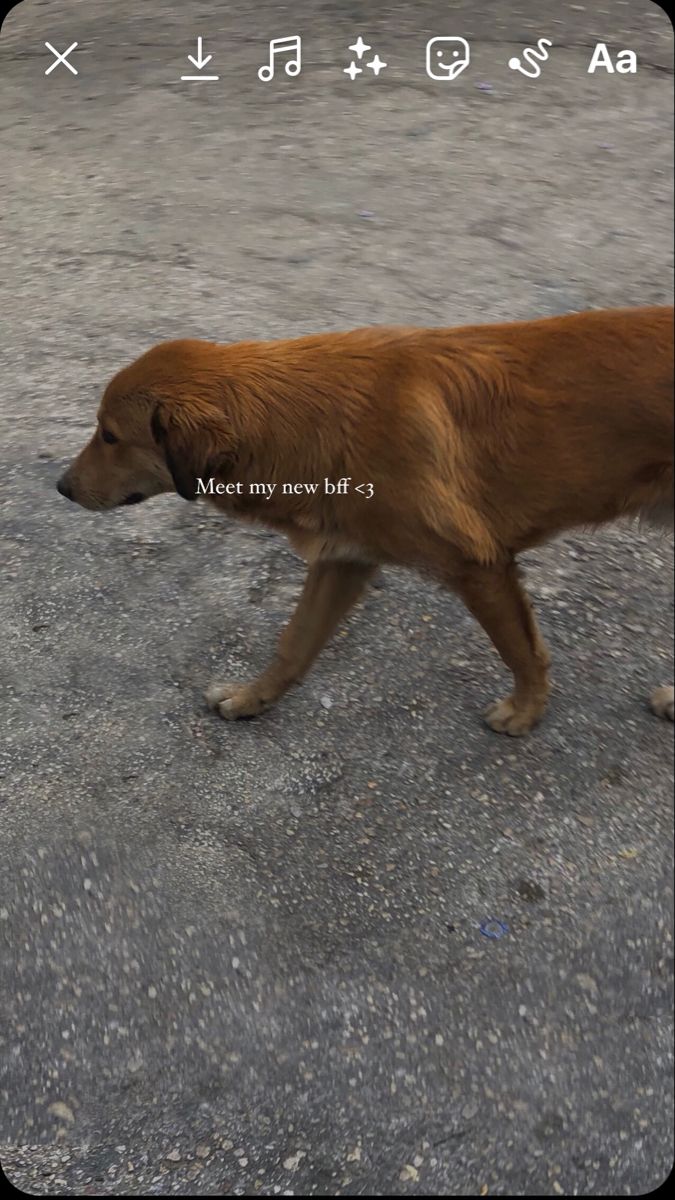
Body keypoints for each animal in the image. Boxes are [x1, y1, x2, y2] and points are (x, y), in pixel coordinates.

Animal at [59, 304, 672, 729]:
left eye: (109, 435)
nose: (60, 487)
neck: (306, 418)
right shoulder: (343, 559)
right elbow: (293, 644)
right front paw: (253, 698)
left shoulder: (478, 565)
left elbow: (521, 650)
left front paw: (525, 713)